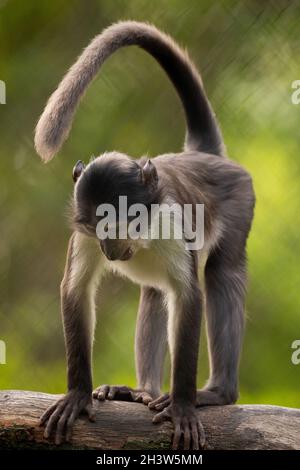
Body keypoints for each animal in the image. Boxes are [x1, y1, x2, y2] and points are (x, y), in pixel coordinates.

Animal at [35, 20, 255, 450]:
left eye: (126, 223)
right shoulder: (82, 231)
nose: (109, 249)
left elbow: (189, 296)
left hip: (241, 200)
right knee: (155, 291)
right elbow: (76, 290)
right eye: (98, 229)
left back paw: (217, 393)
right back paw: (142, 391)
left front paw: (183, 405)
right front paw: (77, 395)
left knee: (221, 273)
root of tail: (204, 156)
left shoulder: (173, 217)